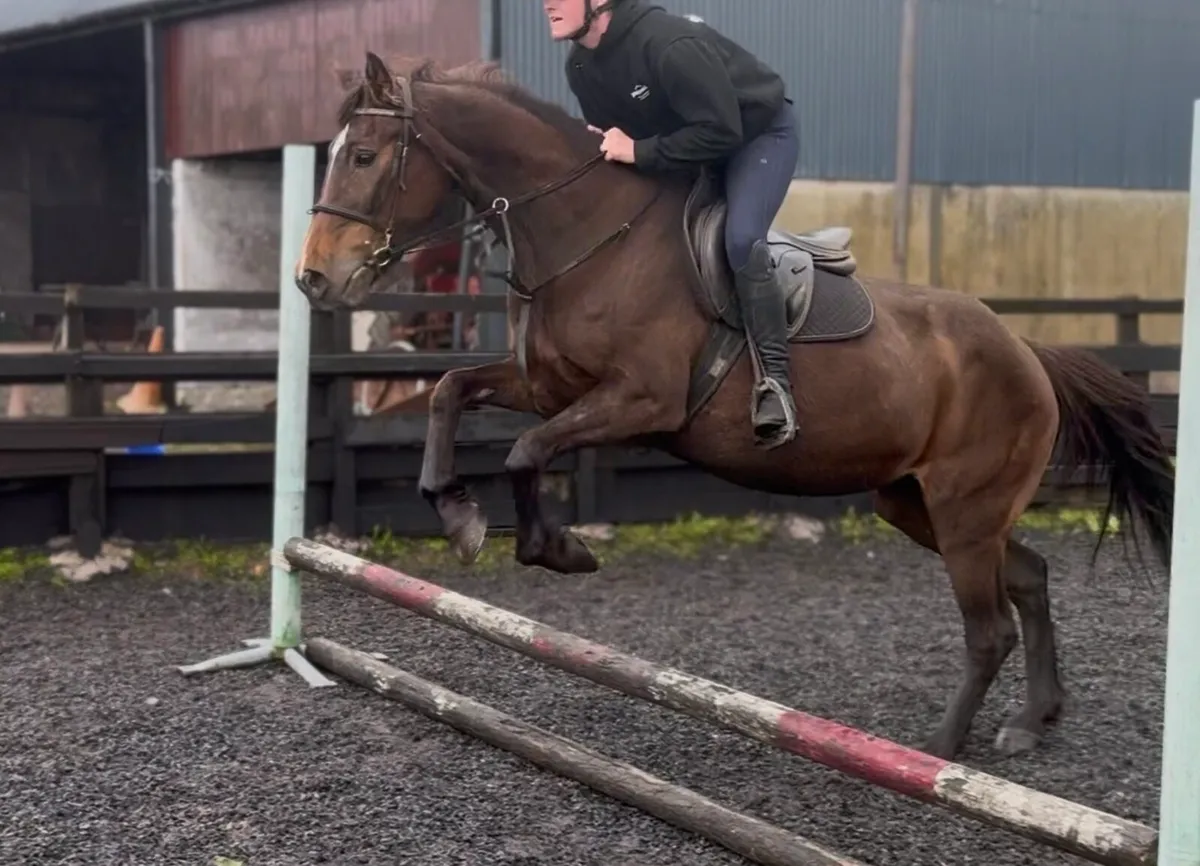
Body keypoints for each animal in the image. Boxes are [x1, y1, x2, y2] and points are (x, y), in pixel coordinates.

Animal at [294, 52, 1175, 762]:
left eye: (364, 156)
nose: (314, 280)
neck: (589, 233)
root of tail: (1028, 351)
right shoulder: (547, 387)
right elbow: (450, 392)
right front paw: (457, 513)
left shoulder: (639, 401)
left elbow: (525, 451)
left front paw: (556, 547)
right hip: (916, 502)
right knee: (1028, 576)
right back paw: (1032, 720)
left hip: (964, 510)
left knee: (988, 627)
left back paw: (940, 752)